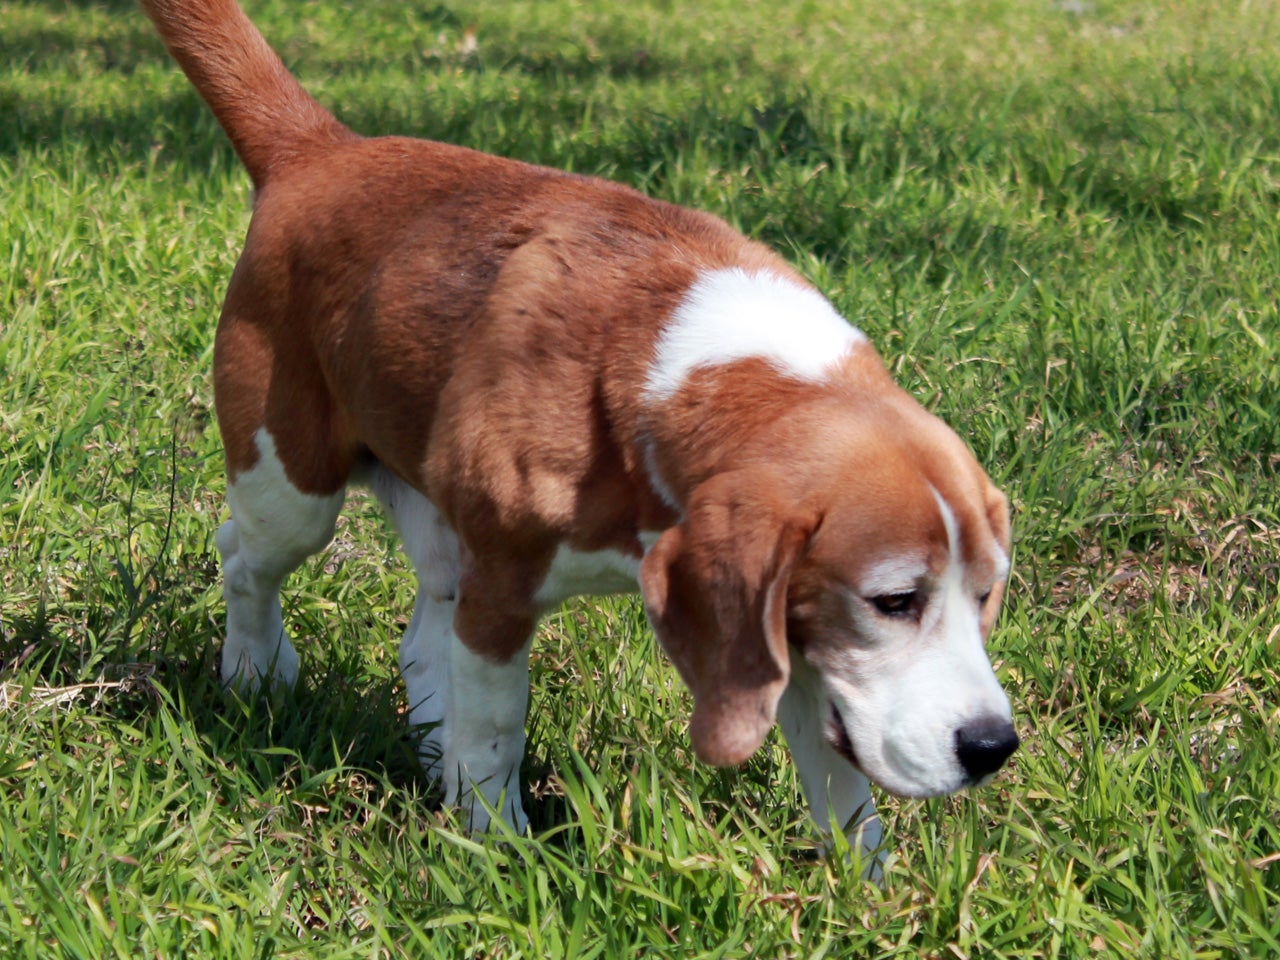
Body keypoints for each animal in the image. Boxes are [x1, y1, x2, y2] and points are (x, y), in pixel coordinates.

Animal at [140, 0, 1018, 860]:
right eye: (894, 599)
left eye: (986, 594)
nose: (993, 747)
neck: (672, 368)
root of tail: (320, 149)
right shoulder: (500, 591)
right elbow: (496, 729)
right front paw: (500, 848)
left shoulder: (781, 631)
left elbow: (840, 785)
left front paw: (864, 887)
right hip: (291, 485)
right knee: (245, 560)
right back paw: (256, 676)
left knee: (420, 643)